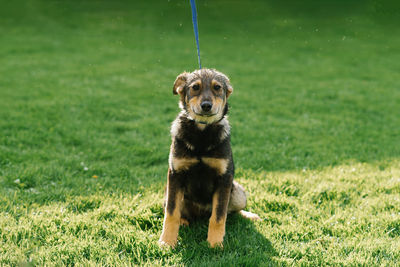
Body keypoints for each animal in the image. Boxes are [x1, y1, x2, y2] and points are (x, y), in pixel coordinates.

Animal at [159, 68, 260, 249]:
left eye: (217, 88)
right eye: (195, 87)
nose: (206, 105)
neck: (202, 133)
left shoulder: (224, 178)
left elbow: (219, 216)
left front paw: (215, 244)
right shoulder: (175, 175)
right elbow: (171, 213)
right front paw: (167, 242)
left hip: (238, 193)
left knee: (230, 212)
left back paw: (249, 215)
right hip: (167, 192)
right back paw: (184, 221)